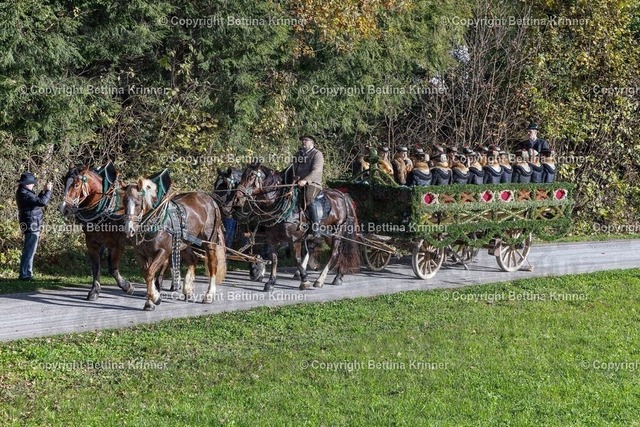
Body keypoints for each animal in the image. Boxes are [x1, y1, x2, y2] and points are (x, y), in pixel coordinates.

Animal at [123, 178, 227, 311]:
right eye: (124, 201)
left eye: (137, 203)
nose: (129, 229)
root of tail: (210, 199)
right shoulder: (141, 254)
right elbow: (147, 274)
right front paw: (150, 302)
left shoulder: (163, 251)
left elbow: (150, 272)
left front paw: (155, 298)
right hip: (184, 243)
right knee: (193, 259)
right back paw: (187, 289)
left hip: (209, 240)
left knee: (212, 263)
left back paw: (209, 295)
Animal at [232, 163, 361, 291]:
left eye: (251, 176)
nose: (237, 197)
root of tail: (342, 195)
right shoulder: (272, 239)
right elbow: (274, 259)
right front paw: (270, 282)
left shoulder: (294, 240)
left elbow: (297, 259)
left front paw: (305, 280)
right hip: (328, 235)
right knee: (337, 253)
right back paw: (338, 276)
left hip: (338, 232)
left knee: (334, 253)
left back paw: (320, 280)